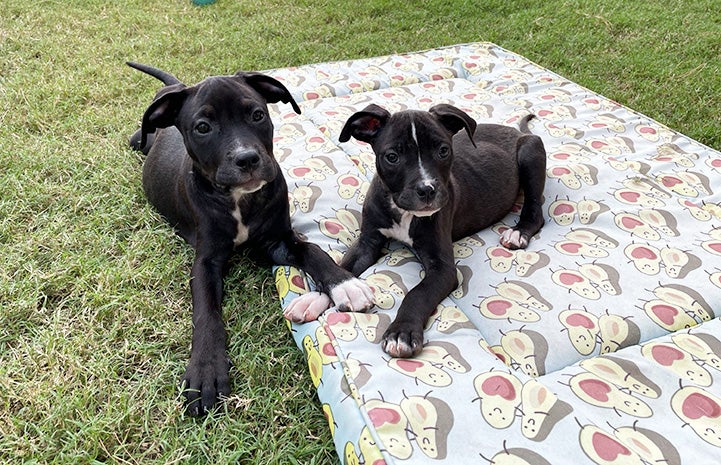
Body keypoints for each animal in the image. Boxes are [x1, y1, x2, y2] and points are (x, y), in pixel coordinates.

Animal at [129, 61, 374, 414]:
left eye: (257, 115)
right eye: (202, 127)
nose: (247, 159)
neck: (238, 199)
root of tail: (174, 87)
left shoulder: (279, 242)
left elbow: (314, 252)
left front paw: (345, 283)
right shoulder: (206, 261)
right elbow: (206, 311)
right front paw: (206, 368)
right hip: (140, 139)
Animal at [338, 103, 544, 358]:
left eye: (443, 151)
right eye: (392, 157)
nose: (427, 190)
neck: (403, 212)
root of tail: (516, 131)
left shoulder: (442, 268)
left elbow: (418, 293)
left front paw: (401, 333)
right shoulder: (367, 242)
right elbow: (343, 267)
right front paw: (325, 295)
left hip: (531, 153)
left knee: (535, 210)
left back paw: (518, 233)